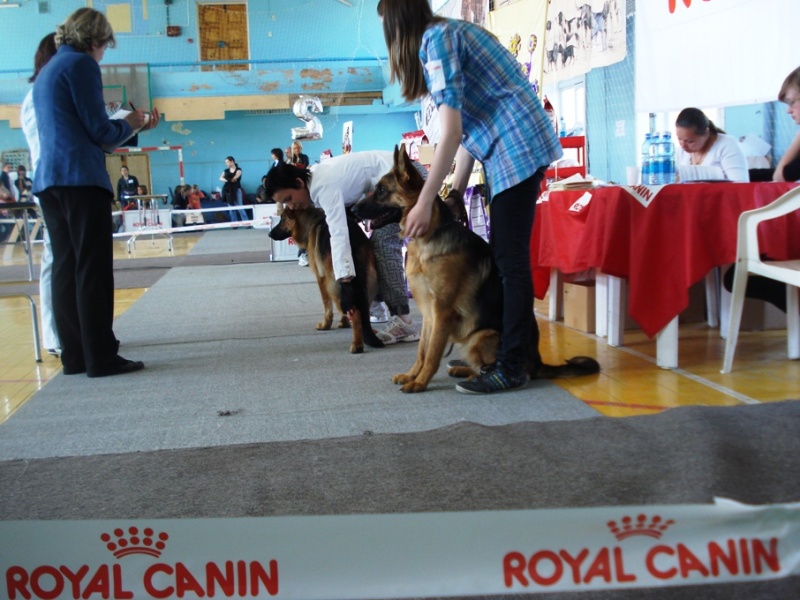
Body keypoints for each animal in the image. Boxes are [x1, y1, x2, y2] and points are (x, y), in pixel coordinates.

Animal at [268, 204, 383, 353]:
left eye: (282, 219)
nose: (269, 234)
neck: (310, 223)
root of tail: (352, 241)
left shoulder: (321, 278)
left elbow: (327, 304)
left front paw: (325, 324)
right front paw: (343, 322)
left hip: (334, 282)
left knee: (355, 311)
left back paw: (357, 344)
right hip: (368, 283)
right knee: (362, 309)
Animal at [352, 146, 600, 393]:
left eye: (382, 190)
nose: (353, 210)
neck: (429, 236)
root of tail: (538, 362)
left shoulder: (442, 313)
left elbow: (432, 354)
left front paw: (420, 383)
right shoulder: (430, 316)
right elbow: (422, 350)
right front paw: (412, 375)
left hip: (480, 337)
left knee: (500, 370)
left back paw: (481, 378)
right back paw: (460, 370)